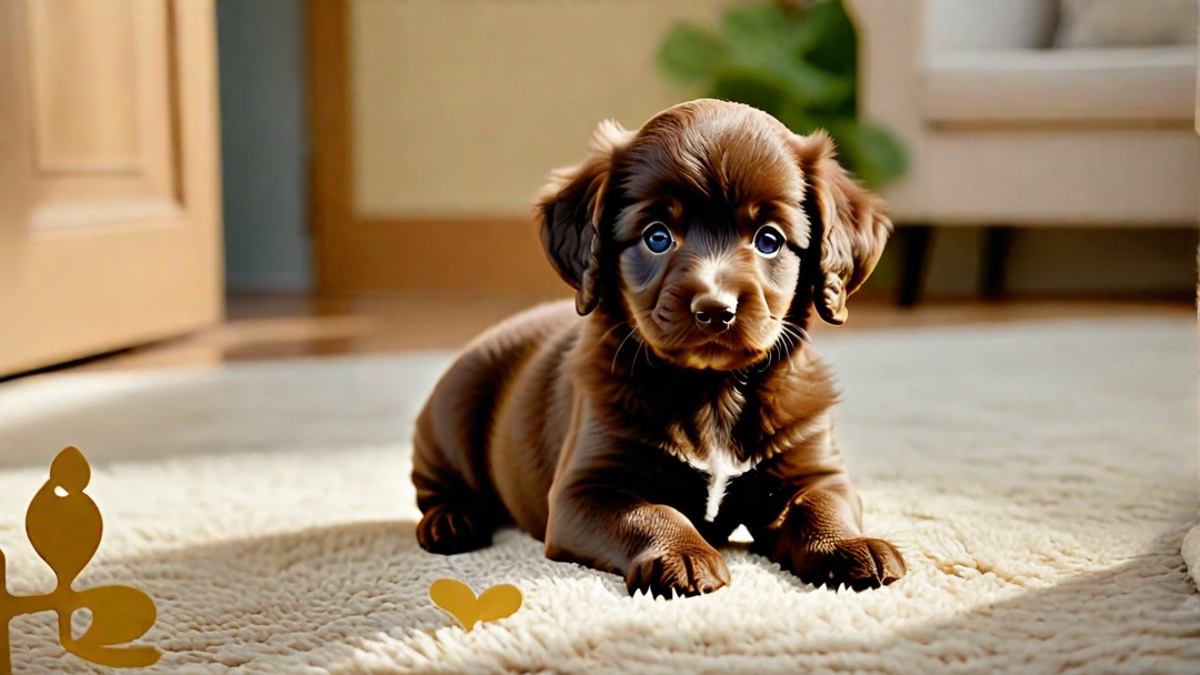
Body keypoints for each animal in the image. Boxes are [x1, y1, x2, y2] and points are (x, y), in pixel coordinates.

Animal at [410, 98, 902, 593]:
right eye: (657, 236)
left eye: (769, 239)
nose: (715, 310)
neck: (713, 392)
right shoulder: (584, 489)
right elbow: (650, 513)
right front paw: (683, 554)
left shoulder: (814, 470)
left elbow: (821, 504)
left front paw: (850, 546)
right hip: (449, 419)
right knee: (434, 486)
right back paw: (450, 521)